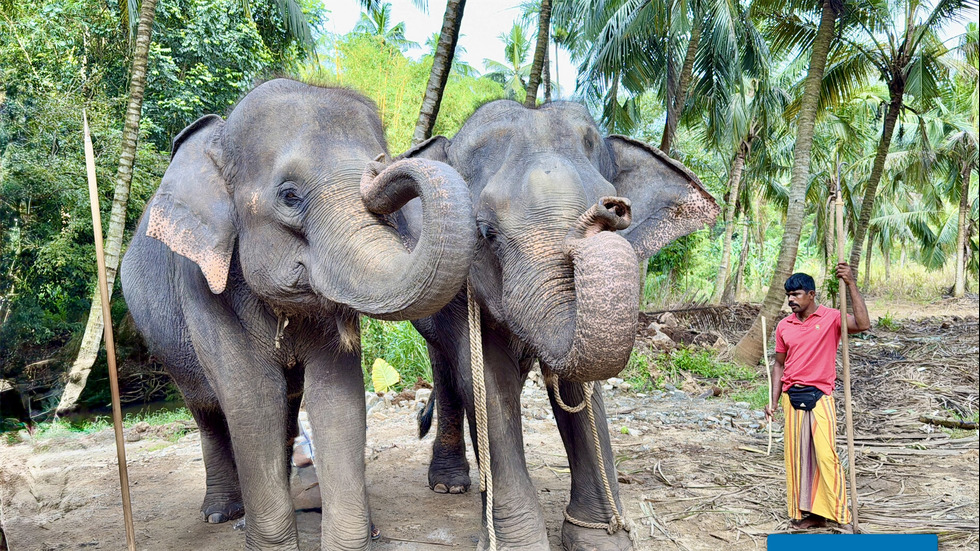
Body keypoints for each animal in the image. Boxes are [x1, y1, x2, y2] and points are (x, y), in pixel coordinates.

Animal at [117, 78, 474, 551]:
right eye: (290, 196)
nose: (382, 166)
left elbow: (336, 396)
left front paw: (355, 540)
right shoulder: (200, 283)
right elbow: (252, 397)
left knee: (286, 409)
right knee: (207, 409)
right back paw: (222, 514)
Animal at [400, 100, 720, 551]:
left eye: (621, 212)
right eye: (485, 232)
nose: (610, 209)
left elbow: (579, 390)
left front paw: (600, 538)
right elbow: (485, 378)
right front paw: (516, 544)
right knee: (447, 372)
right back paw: (450, 486)